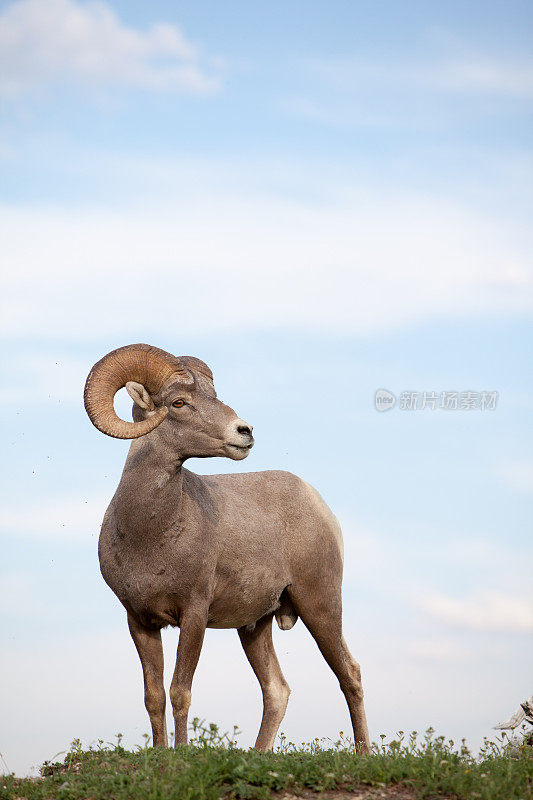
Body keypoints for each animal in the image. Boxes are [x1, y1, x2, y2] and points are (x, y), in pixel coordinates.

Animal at [84, 344, 370, 752]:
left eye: (213, 396)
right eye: (179, 402)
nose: (244, 432)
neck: (149, 536)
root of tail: (318, 503)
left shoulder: (194, 614)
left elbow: (180, 692)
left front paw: (181, 753)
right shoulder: (139, 620)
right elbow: (154, 696)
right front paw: (159, 753)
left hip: (321, 606)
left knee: (349, 674)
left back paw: (364, 753)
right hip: (256, 627)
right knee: (277, 690)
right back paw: (258, 754)